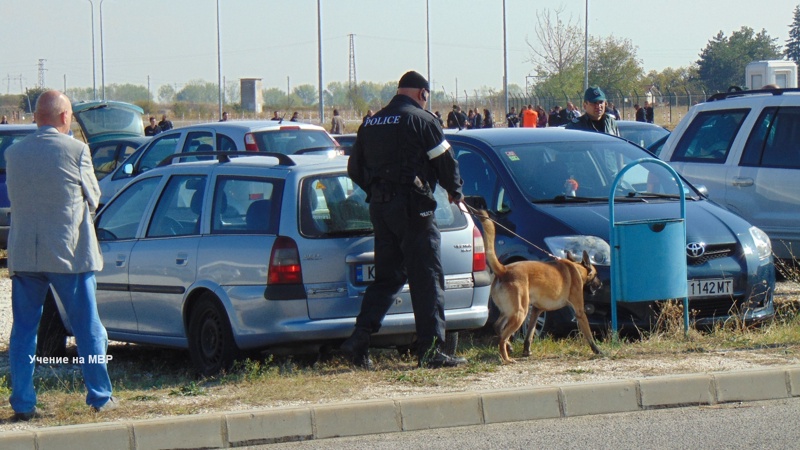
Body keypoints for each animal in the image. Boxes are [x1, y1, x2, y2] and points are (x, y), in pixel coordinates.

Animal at [476, 210, 600, 362]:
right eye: (596, 274)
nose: (600, 284)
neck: (577, 268)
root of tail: (503, 270)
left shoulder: (536, 310)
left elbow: (529, 334)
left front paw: (526, 350)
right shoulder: (580, 312)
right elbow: (588, 334)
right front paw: (597, 350)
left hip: (510, 311)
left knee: (498, 326)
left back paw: (509, 347)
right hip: (520, 313)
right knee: (503, 337)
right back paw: (506, 358)